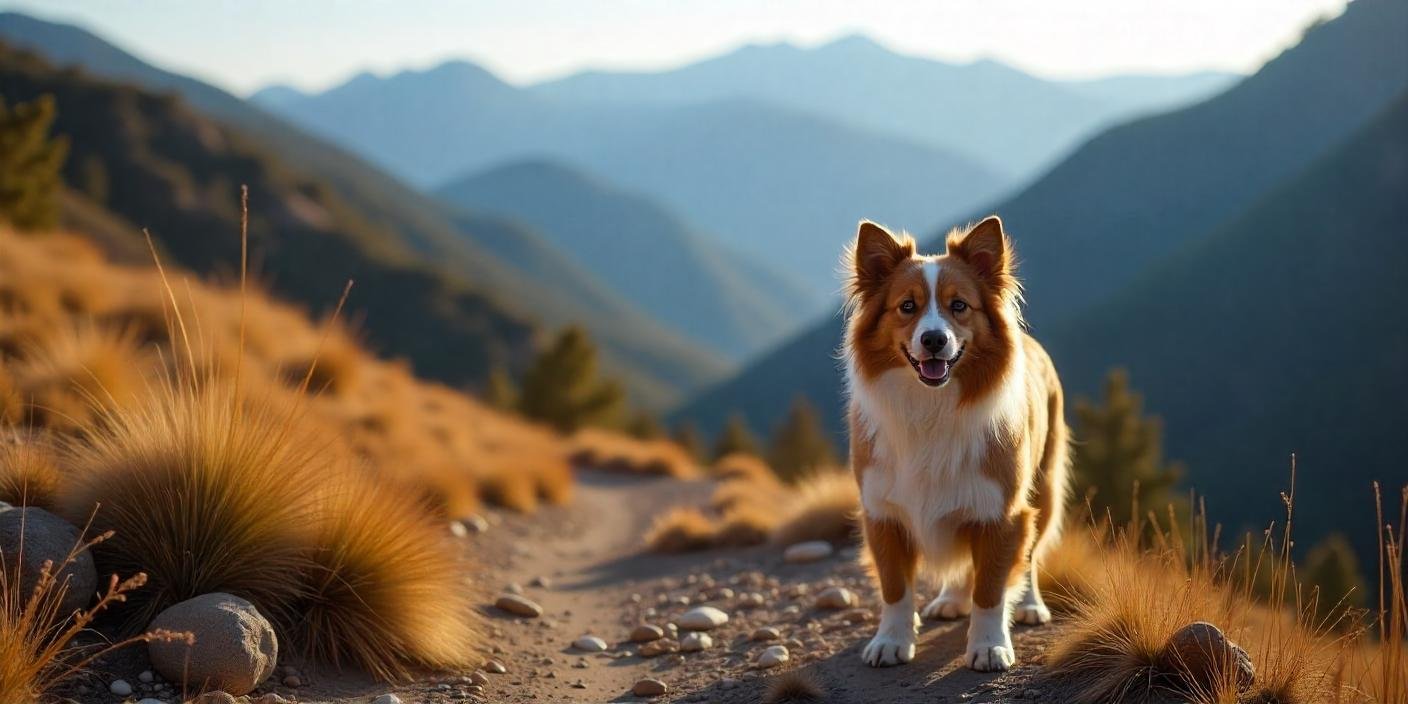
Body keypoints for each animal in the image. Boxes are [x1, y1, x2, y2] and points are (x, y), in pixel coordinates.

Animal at [839, 214, 1070, 670]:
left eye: (959, 305)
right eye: (907, 306)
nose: (934, 340)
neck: (931, 408)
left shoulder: (1003, 512)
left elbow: (991, 589)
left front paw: (989, 645)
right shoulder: (882, 511)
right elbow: (895, 588)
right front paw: (891, 640)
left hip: (1044, 485)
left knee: (1030, 556)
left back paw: (1030, 605)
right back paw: (951, 599)